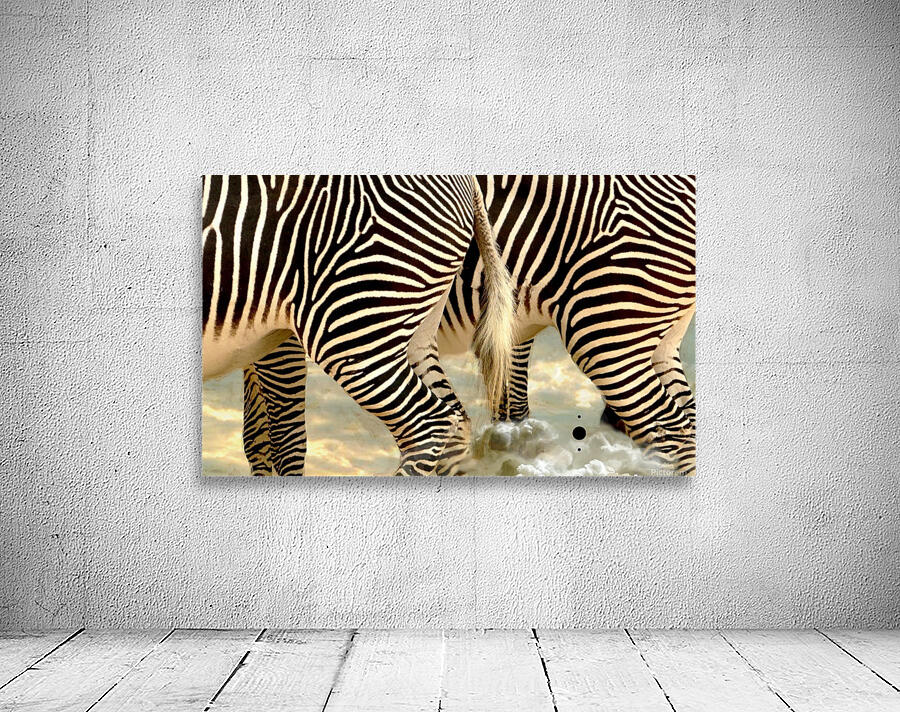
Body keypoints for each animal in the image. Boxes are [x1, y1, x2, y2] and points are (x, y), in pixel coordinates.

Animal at [202, 174, 514, 477]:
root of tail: (468, 181)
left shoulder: (274, 330)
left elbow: (285, 438)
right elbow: (256, 438)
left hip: (351, 328)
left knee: (430, 424)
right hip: (410, 329)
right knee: (456, 421)